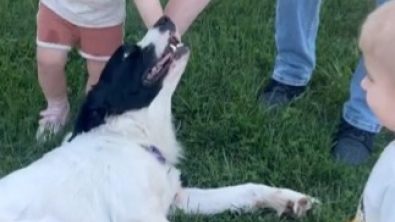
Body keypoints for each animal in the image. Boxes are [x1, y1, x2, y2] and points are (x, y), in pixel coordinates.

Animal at [0, 16, 318, 221]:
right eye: (128, 52)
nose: (165, 18)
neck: (131, 139)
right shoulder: (142, 216)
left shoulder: (178, 198)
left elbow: (244, 190)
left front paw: (289, 199)